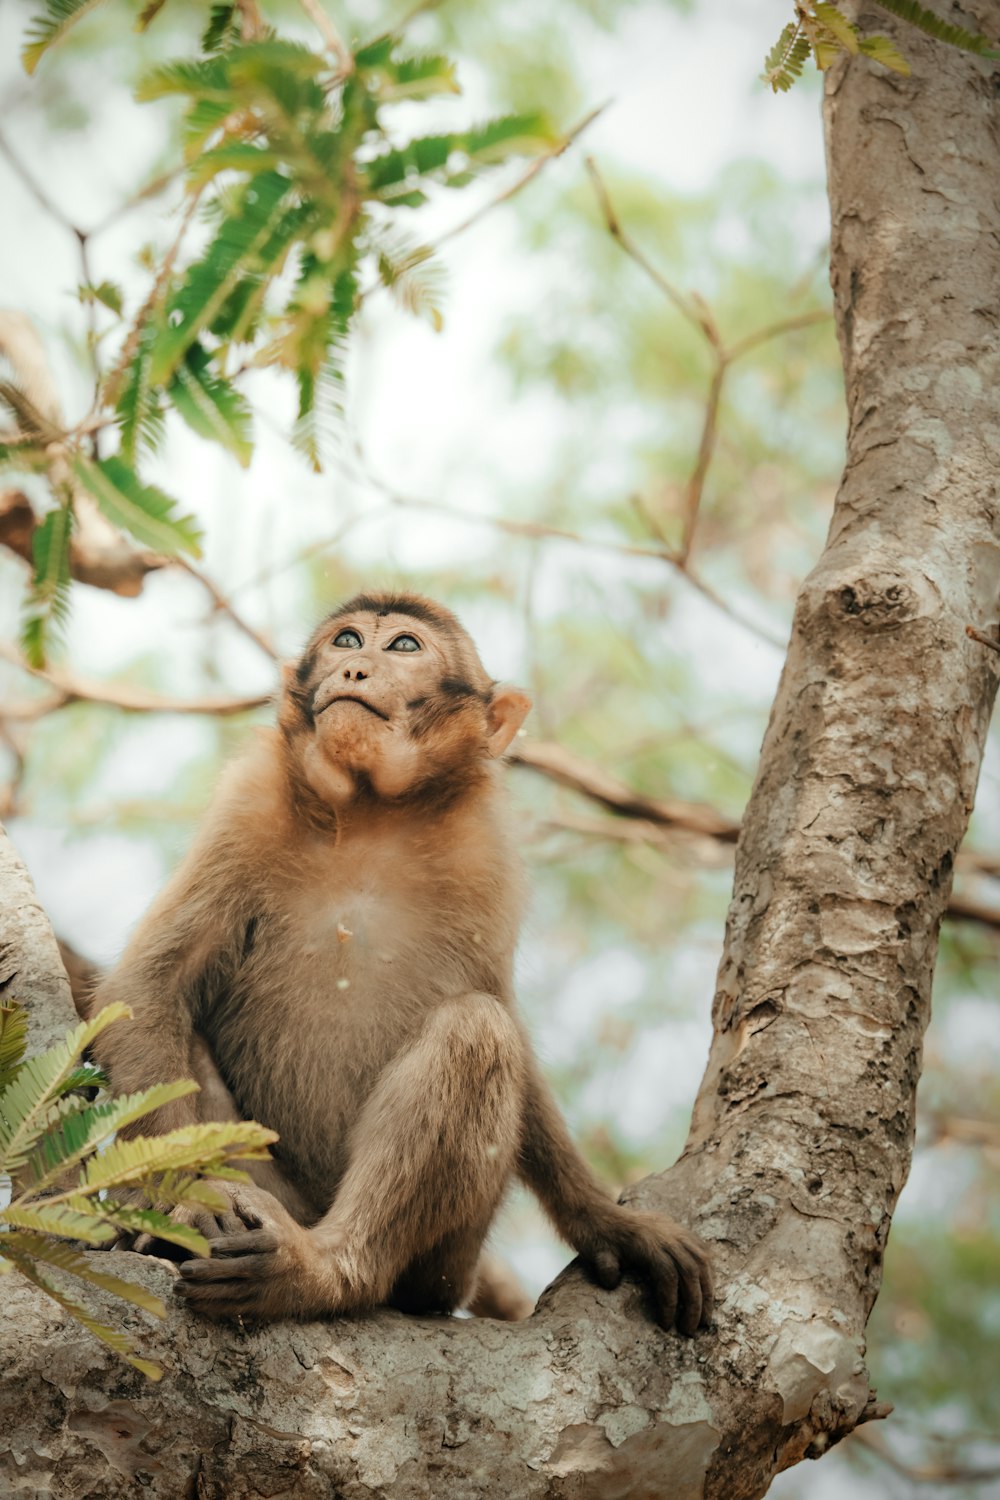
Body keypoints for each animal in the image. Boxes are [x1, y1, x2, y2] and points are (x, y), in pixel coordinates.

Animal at [93, 591, 716, 1332]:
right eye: (347, 639)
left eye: (403, 647)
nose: (355, 668)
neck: (369, 811)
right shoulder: (248, 803)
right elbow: (150, 990)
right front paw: (186, 1202)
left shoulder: (486, 850)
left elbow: (500, 1018)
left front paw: (604, 1222)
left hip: (449, 1264)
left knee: (475, 1029)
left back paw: (325, 1272)